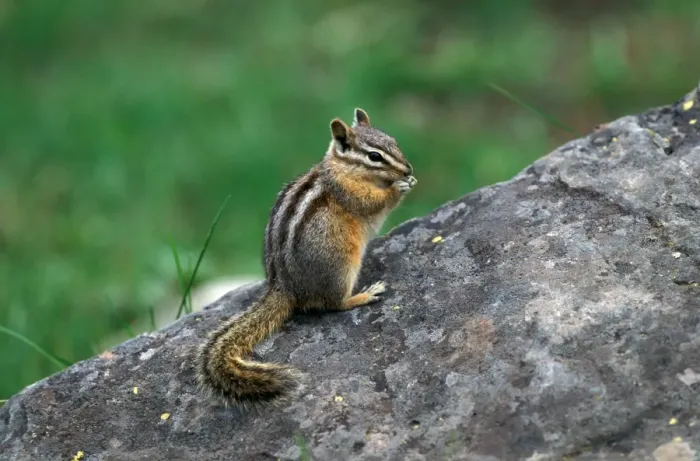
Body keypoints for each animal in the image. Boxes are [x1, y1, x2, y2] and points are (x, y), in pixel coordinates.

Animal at [196, 108, 417, 408]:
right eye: (374, 156)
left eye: (394, 141)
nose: (408, 169)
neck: (341, 170)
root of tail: (284, 287)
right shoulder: (350, 193)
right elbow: (375, 202)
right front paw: (399, 187)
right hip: (341, 266)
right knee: (333, 304)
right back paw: (364, 294)